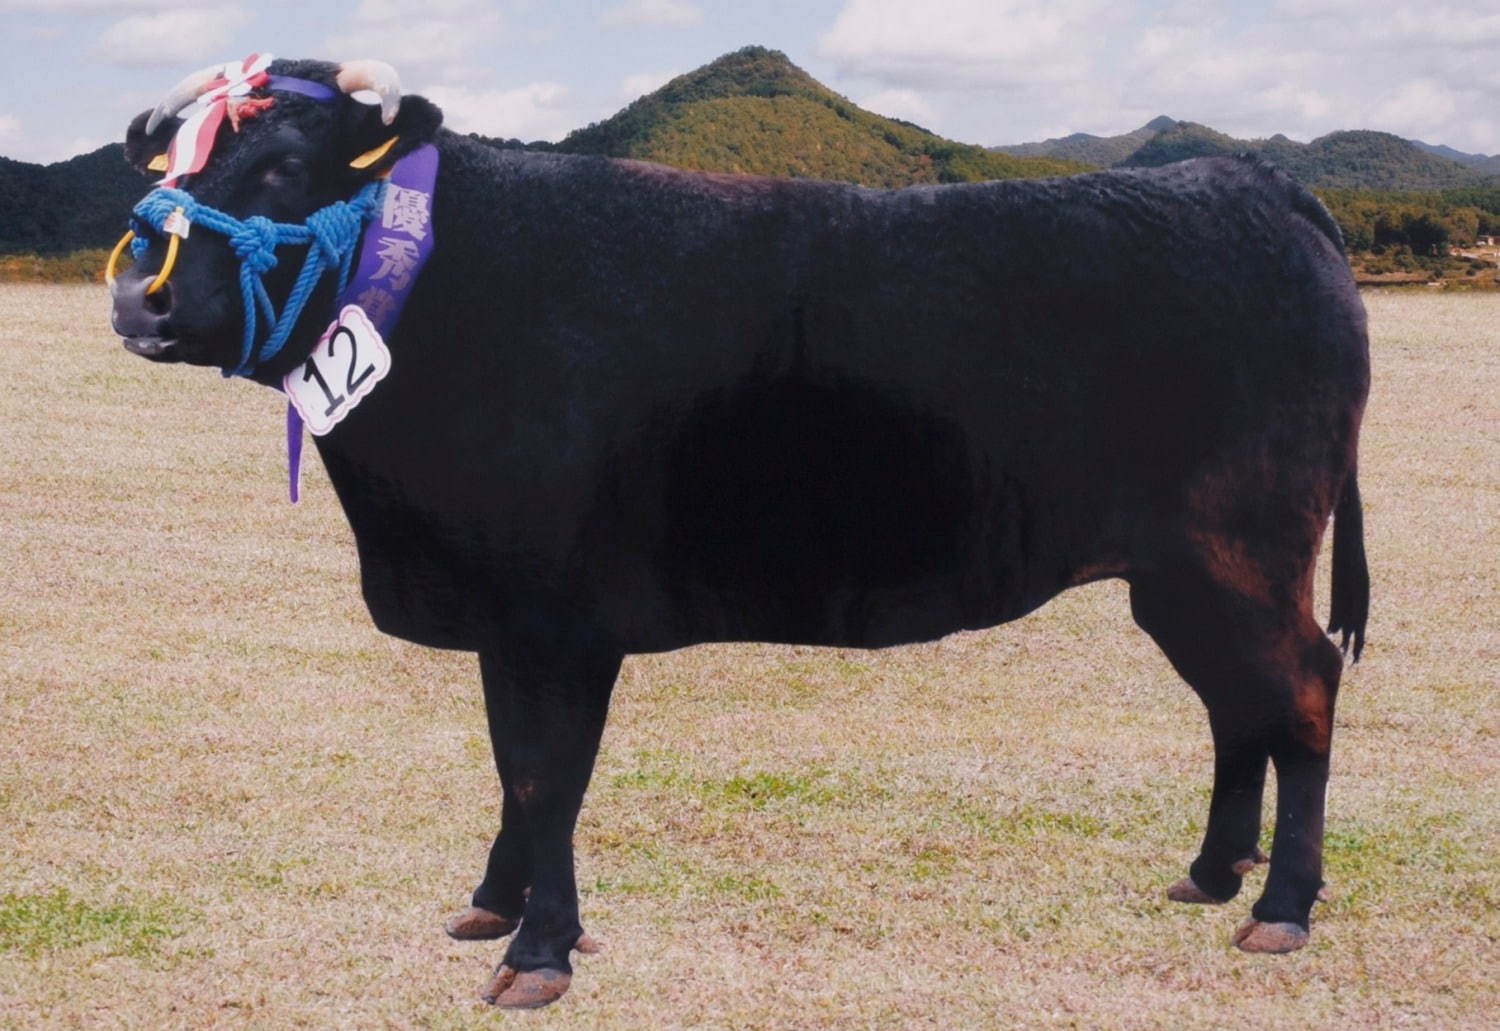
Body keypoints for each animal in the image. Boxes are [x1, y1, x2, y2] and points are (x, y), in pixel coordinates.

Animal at [111, 56, 1368, 1008]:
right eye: (171, 165)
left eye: (282, 166)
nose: (139, 294)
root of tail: (1249, 180)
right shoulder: (508, 622)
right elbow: (516, 769)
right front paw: (495, 907)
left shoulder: (554, 619)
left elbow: (545, 776)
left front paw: (539, 951)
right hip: (1182, 576)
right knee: (1238, 708)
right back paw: (1212, 872)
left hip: (1240, 553)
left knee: (1300, 689)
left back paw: (1280, 907)